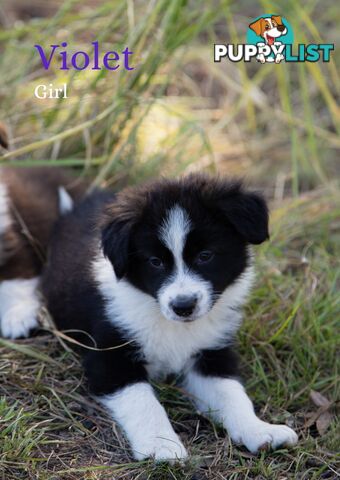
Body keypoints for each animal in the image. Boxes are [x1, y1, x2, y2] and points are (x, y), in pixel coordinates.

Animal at [41, 173, 298, 462]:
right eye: (155, 262)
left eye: (205, 256)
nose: (183, 306)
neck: (172, 324)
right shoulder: (109, 358)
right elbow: (144, 402)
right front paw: (161, 445)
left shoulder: (211, 353)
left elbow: (232, 393)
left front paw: (259, 430)